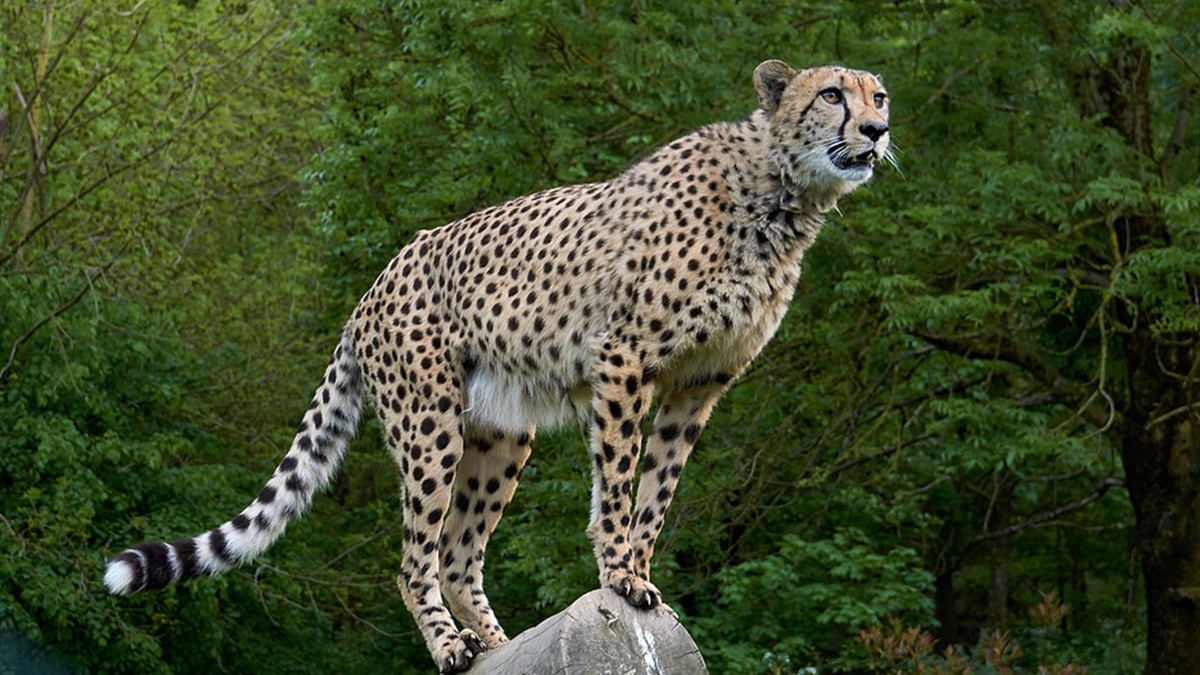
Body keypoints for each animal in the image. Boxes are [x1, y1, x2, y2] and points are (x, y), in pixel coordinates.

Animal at [104, 59, 891, 673]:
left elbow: (657, 491)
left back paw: (499, 641)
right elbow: (618, 480)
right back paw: (452, 646)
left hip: (501, 431)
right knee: (414, 558)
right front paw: (618, 574)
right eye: (832, 95)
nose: (878, 133)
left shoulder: (698, 384)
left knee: (458, 551)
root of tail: (374, 284)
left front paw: (638, 572)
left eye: (878, 96)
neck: (782, 194)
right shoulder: (626, 357)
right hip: (429, 421)